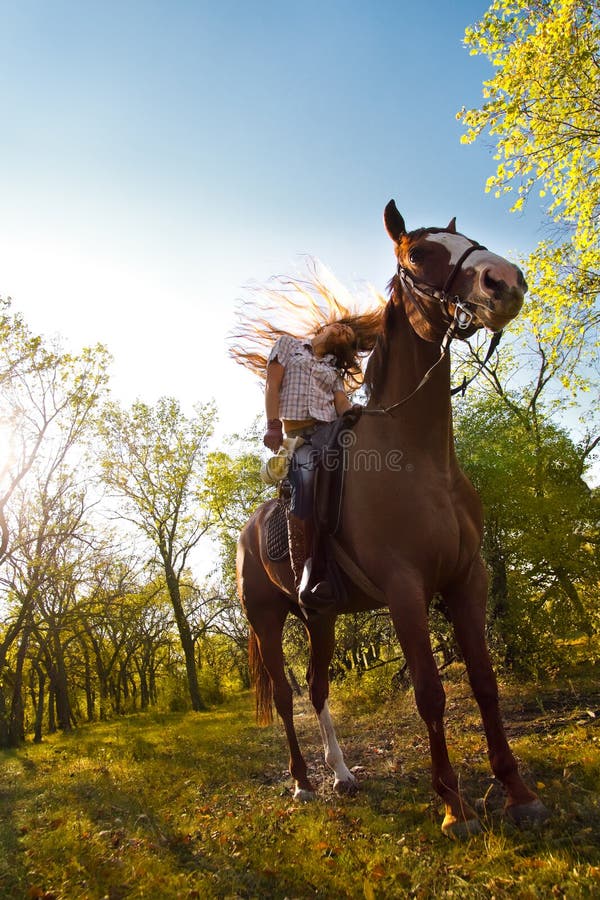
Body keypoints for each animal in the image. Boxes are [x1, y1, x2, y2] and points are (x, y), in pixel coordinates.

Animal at [236, 201, 549, 838]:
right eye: (418, 254)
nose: (504, 281)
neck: (421, 457)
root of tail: (249, 530)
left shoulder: (467, 581)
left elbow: (484, 682)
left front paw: (519, 793)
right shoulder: (406, 590)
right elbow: (429, 692)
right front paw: (454, 806)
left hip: (321, 618)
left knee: (317, 687)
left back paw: (342, 775)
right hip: (267, 619)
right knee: (284, 696)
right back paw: (303, 783)